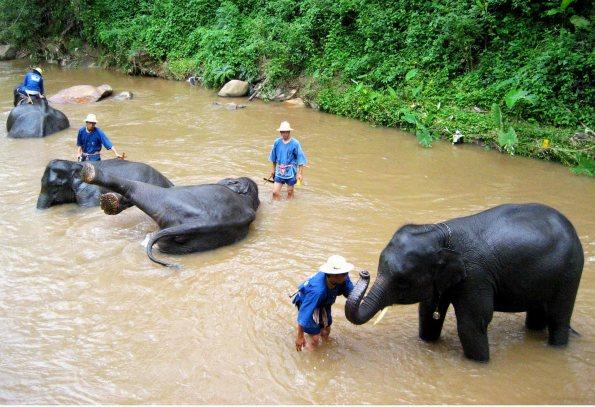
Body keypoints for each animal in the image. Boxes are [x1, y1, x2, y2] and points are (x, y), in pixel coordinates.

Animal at [78, 163, 260, 268]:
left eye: (230, 180)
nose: (225, 178)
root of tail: (197, 223)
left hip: (164, 199)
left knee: (138, 188)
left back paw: (91, 172)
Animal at [346, 204, 584, 364]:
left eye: (403, 281)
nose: (364, 272)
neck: (441, 233)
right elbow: (428, 314)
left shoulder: (476, 276)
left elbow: (472, 323)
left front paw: (480, 363)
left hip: (571, 271)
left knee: (559, 316)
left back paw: (557, 346)